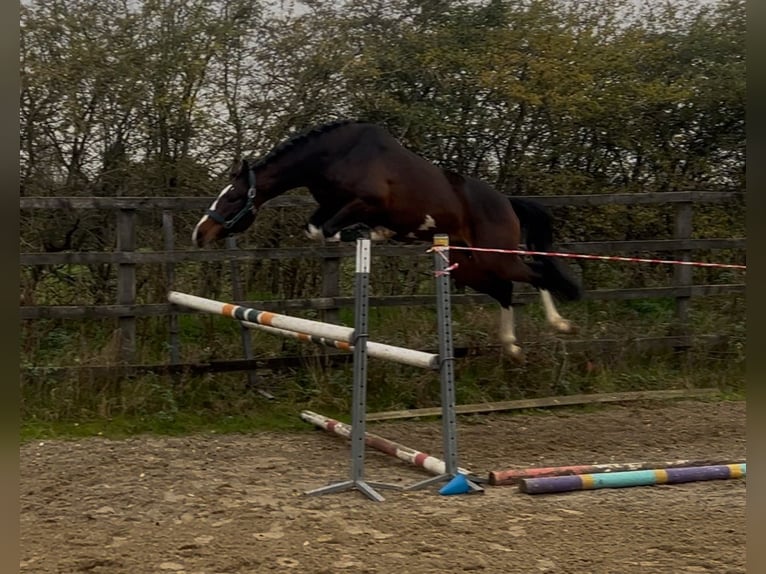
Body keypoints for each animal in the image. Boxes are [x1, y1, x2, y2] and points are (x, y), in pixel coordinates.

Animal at [192, 120, 584, 364]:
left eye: (232, 198)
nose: (199, 233)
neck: (334, 155)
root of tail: (507, 202)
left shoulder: (365, 202)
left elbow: (329, 229)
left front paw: (372, 234)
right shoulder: (328, 206)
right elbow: (316, 228)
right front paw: (374, 234)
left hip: (495, 257)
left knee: (536, 273)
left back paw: (561, 325)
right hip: (470, 267)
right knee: (505, 291)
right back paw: (513, 348)